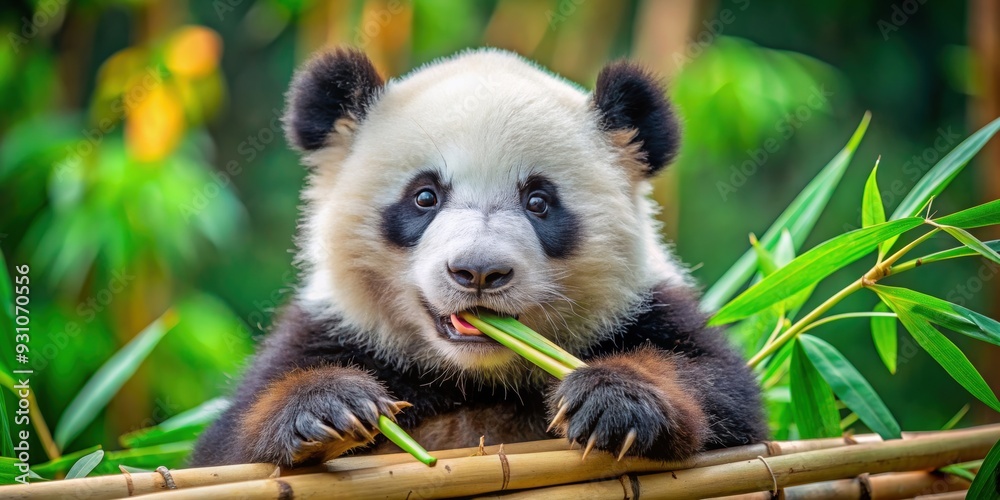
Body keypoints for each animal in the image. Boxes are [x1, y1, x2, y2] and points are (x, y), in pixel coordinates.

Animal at [189, 47, 764, 468]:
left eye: (539, 201)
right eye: (425, 196)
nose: (479, 271)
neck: (474, 377)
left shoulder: (647, 310)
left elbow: (724, 400)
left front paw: (614, 403)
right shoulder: (330, 329)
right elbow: (227, 449)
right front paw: (330, 409)